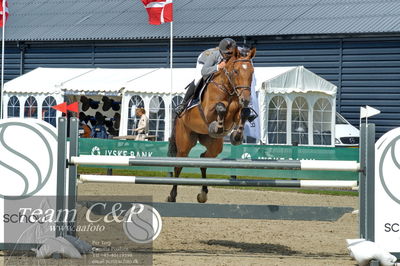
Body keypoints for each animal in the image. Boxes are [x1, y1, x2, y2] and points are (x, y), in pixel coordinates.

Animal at [166, 46, 256, 203]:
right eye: (236, 71)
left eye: (252, 72)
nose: (245, 99)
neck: (228, 88)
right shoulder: (208, 112)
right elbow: (221, 107)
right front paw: (218, 126)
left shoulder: (237, 112)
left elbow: (244, 113)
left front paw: (237, 136)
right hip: (184, 143)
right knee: (178, 165)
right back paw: (172, 195)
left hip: (214, 145)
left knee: (204, 158)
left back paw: (203, 193)